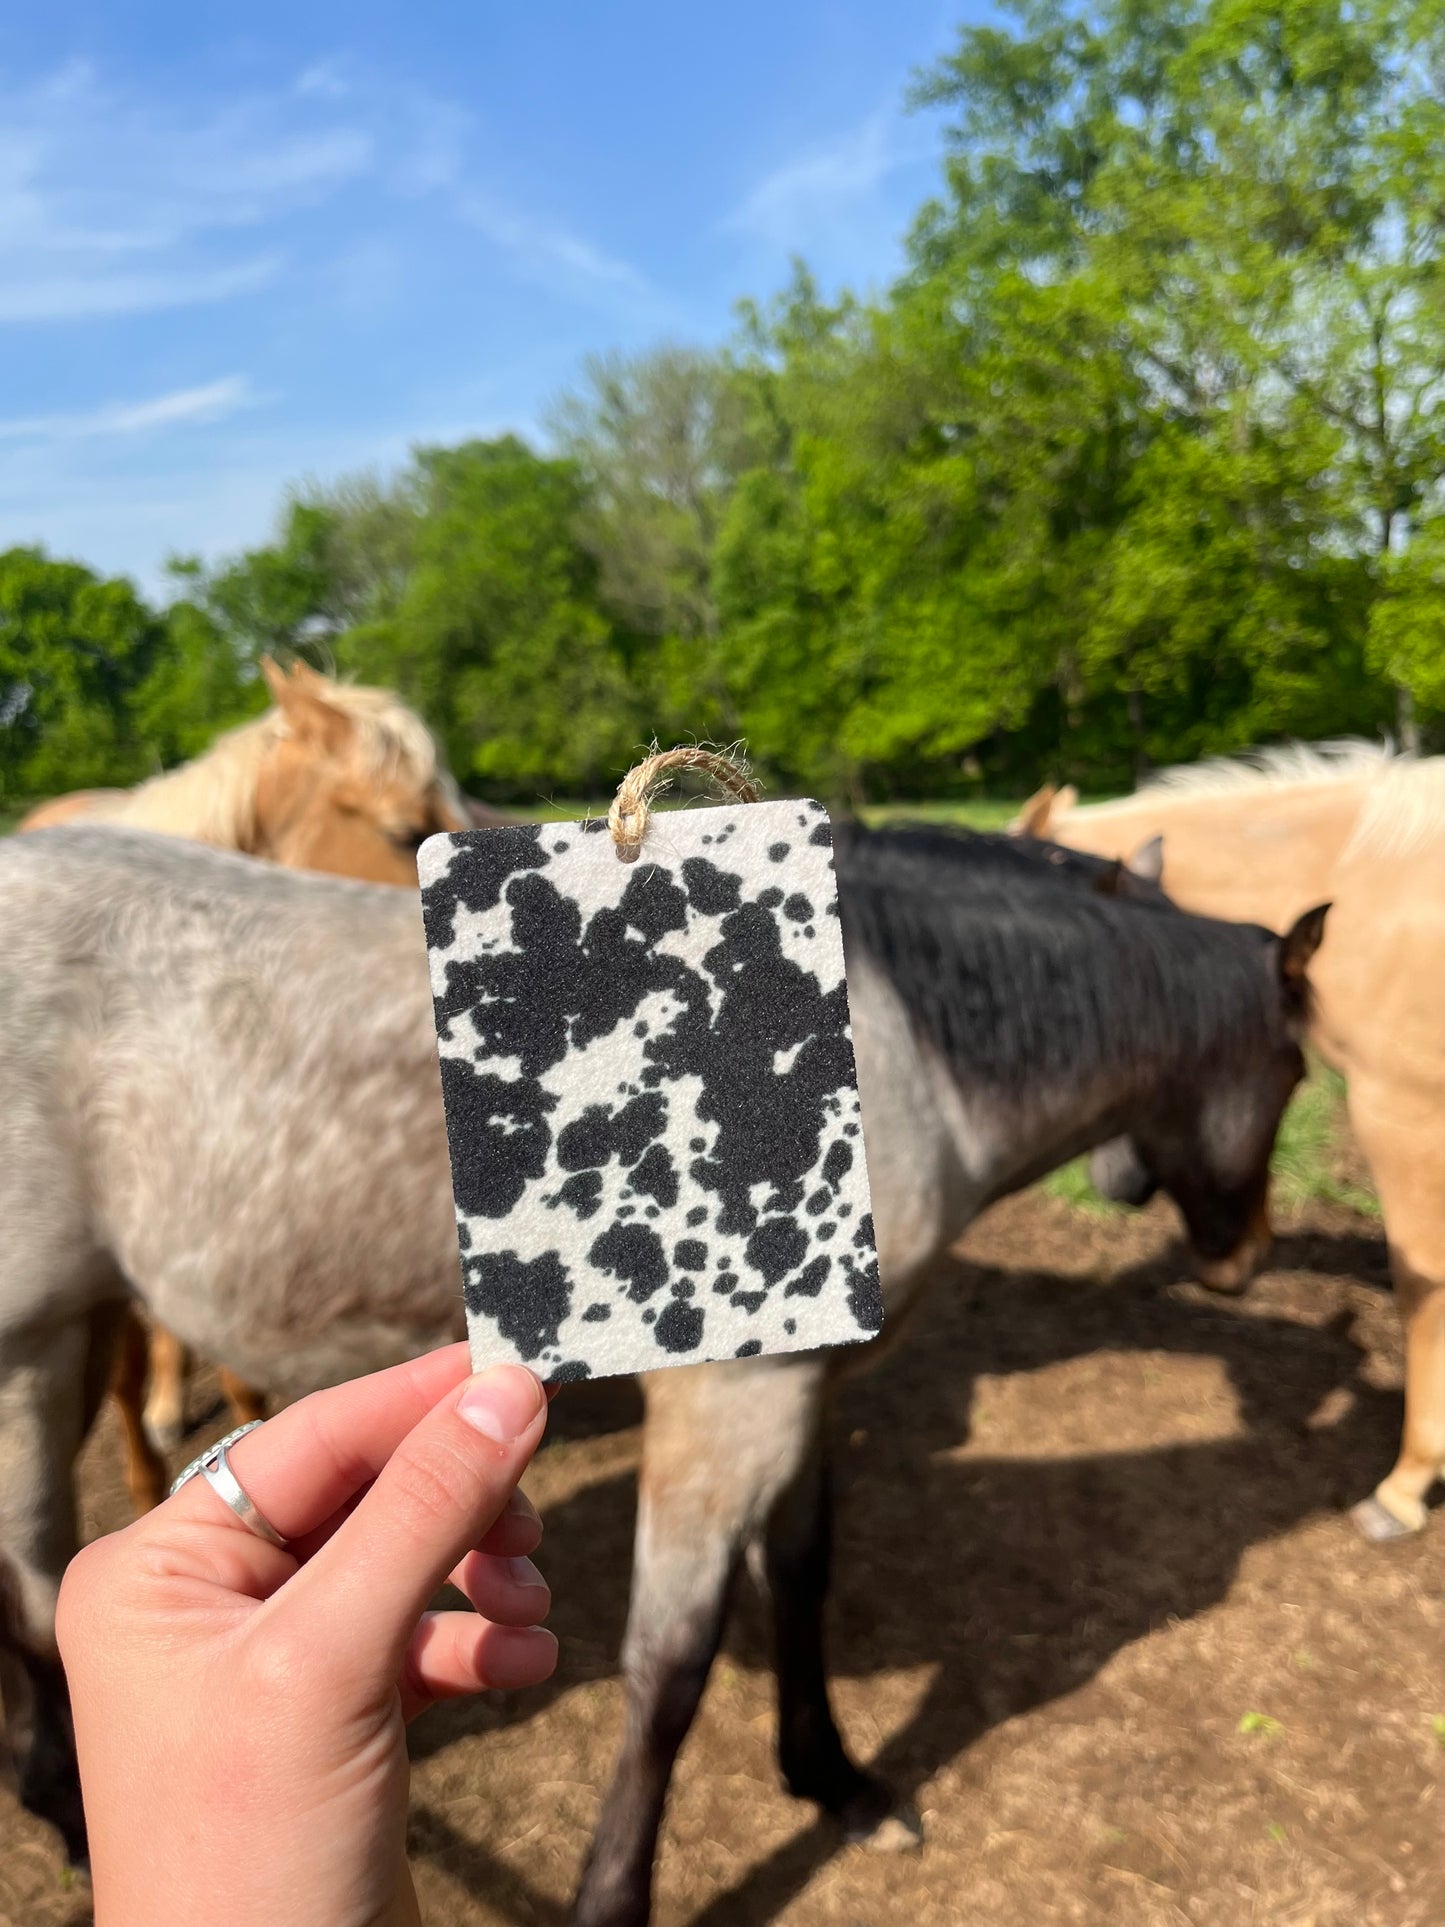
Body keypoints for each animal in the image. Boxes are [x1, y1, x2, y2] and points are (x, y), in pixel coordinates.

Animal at [0, 817, 1325, 1911]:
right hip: (31, 1352)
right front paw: (615, 1897)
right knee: (33, 1583)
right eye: (1298, 1071)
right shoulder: (724, 1408)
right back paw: (66, 1813)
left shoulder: (801, 1393)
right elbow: (670, 1669)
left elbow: (802, 1577)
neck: (877, 1043)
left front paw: (833, 1780)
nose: (1245, 1256)